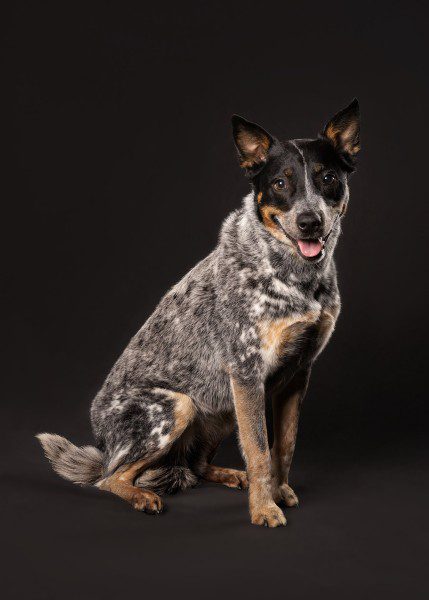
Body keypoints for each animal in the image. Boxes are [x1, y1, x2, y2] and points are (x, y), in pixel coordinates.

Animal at [36, 101, 360, 528]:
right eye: (280, 183)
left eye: (327, 178)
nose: (310, 222)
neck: (296, 276)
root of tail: (103, 444)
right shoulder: (247, 372)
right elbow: (259, 449)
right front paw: (264, 509)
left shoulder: (297, 373)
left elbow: (284, 445)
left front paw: (280, 491)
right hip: (179, 406)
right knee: (110, 478)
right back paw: (142, 496)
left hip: (222, 406)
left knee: (196, 466)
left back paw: (230, 476)